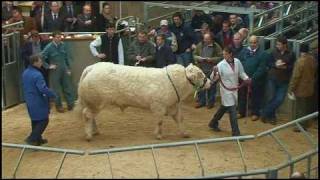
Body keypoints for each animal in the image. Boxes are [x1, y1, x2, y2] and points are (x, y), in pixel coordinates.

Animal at [76, 62, 211, 141]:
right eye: (200, 73)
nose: (209, 82)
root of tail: (92, 67)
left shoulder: (173, 106)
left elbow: (180, 119)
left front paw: (185, 133)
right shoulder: (158, 106)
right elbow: (160, 122)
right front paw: (158, 135)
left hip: (93, 103)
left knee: (91, 116)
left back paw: (94, 131)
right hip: (95, 102)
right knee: (87, 115)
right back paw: (89, 135)